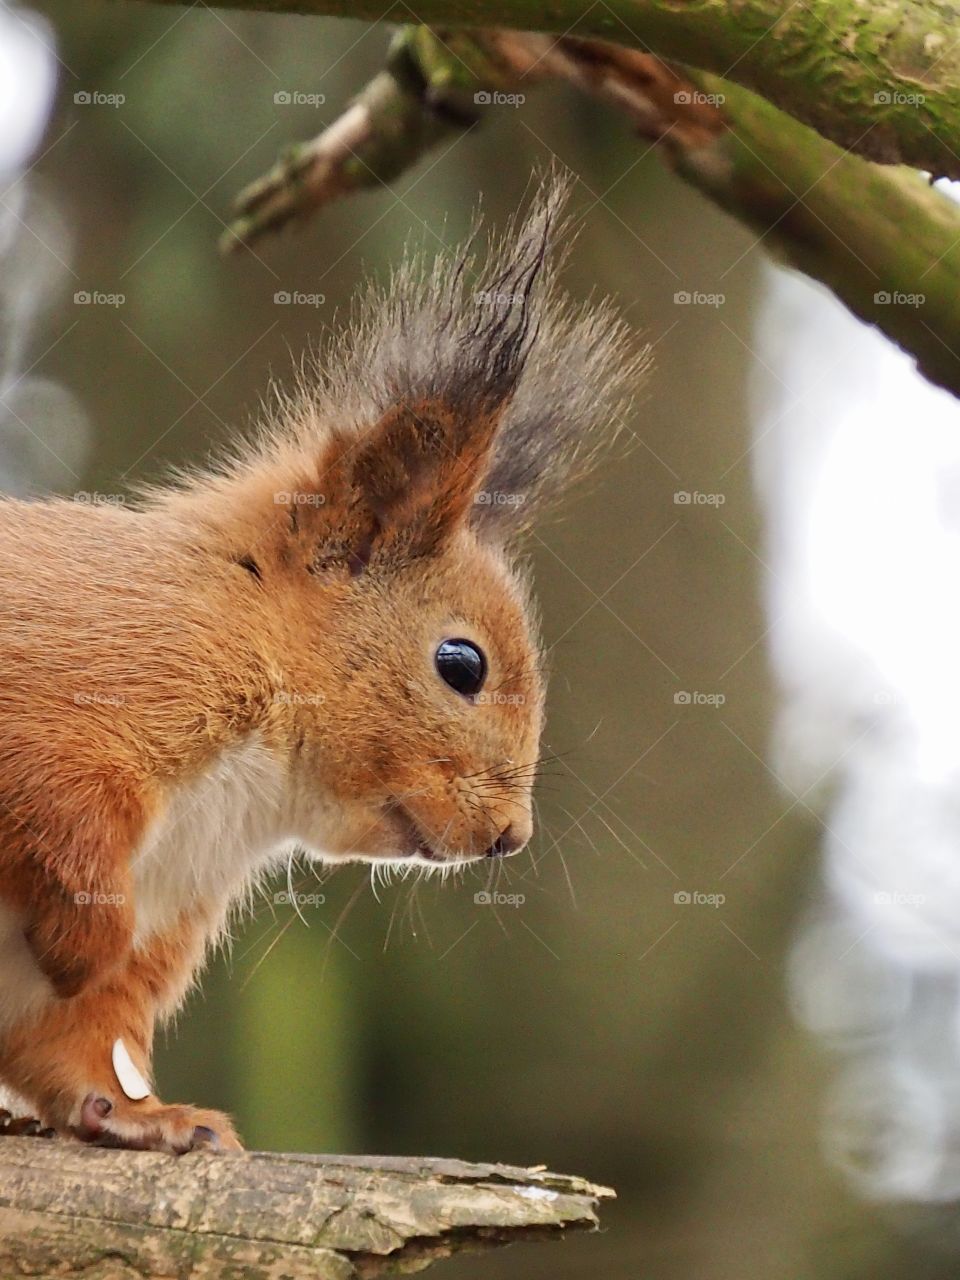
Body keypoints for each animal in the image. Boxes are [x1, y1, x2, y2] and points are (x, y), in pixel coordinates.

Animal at [0, 178, 643, 1153]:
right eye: (461, 663)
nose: (511, 837)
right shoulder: (89, 679)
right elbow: (56, 804)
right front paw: (83, 944)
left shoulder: (168, 911)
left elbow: (79, 1046)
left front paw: (151, 1117)